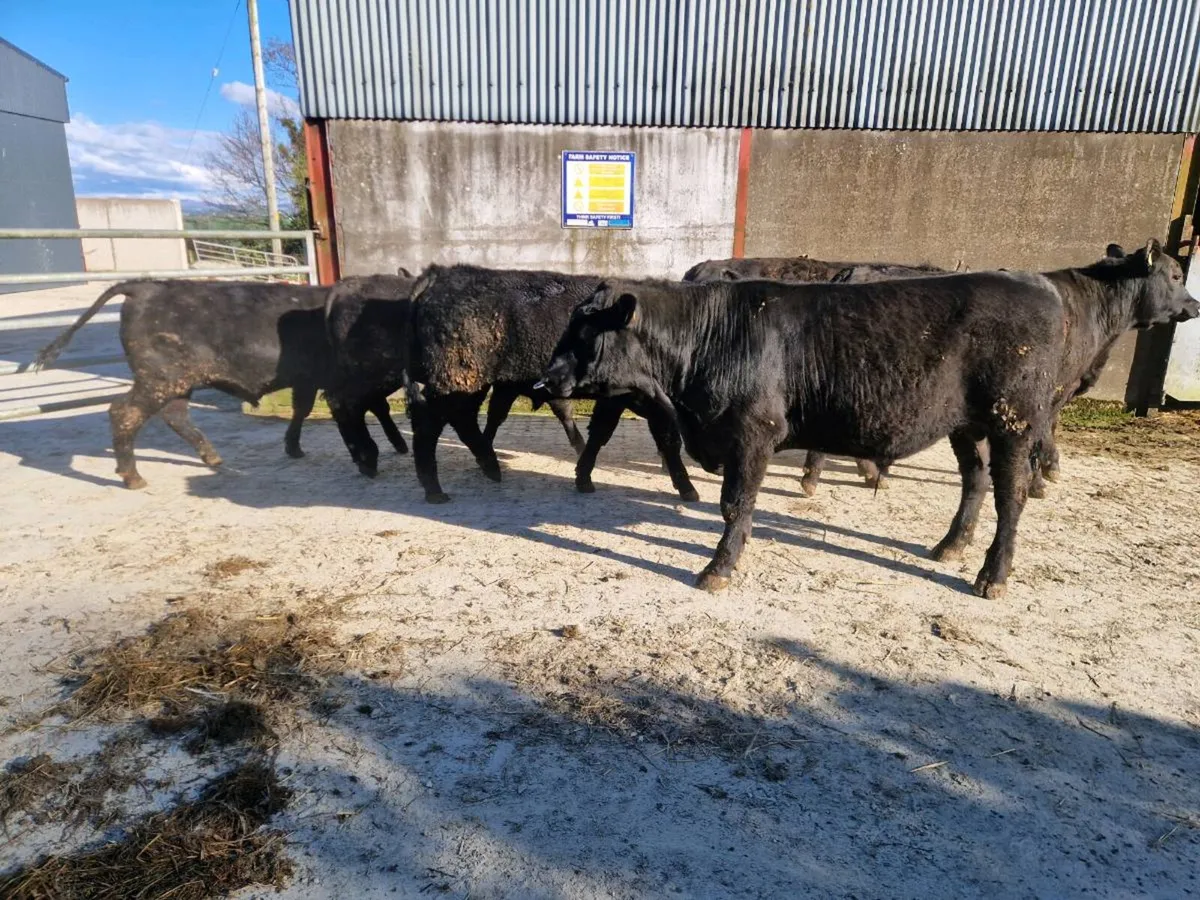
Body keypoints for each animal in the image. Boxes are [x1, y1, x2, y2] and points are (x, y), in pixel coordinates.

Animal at [34, 279, 406, 489]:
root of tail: (143, 285)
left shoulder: (308, 379)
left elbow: (302, 408)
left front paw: (293, 446)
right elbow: (367, 406)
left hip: (177, 381)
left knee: (174, 416)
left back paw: (211, 457)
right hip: (159, 379)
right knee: (124, 413)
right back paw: (132, 476)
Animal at [405, 264, 699, 504]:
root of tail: (442, 274)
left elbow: (610, 432)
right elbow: (662, 438)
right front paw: (686, 486)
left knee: (465, 419)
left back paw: (489, 465)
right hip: (458, 382)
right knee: (432, 426)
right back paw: (436, 489)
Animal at [540, 240, 1197, 599]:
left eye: (585, 332)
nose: (546, 380)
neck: (713, 336)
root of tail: (1036, 283)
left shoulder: (753, 436)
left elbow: (735, 506)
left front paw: (718, 568)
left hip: (1015, 420)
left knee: (1010, 495)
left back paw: (993, 574)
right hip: (966, 424)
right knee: (976, 481)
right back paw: (950, 546)